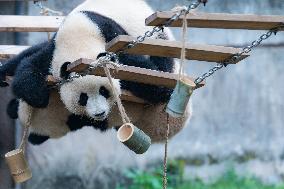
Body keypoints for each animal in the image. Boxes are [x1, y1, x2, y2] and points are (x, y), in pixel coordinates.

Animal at [1, 0, 191, 145]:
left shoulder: (112, 35)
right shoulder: (53, 51)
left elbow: (145, 74)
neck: (78, 42)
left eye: (104, 91)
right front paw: (36, 95)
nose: (99, 114)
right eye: (82, 98)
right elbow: (30, 66)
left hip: (159, 43)